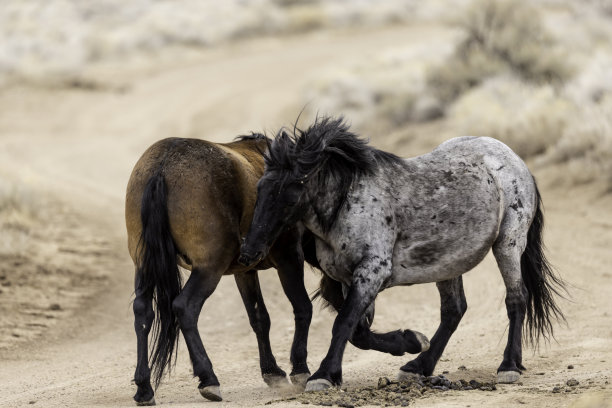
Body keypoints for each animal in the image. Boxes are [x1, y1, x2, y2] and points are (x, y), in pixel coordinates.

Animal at [126, 135, 314, 404]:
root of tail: (162, 166)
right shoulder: (289, 258)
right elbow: (302, 307)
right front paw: (300, 369)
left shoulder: (245, 271)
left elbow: (259, 318)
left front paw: (272, 371)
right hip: (209, 269)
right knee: (185, 307)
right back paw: (208, 379)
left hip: (144, 266)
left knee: (143, 312)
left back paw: (143, 387)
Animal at [240, 116, 568, 390]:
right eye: (261, 187)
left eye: (291, 190)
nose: (249, 251)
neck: (348, 203)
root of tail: (515, 160)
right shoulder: (348, 278)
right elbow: (357, 331)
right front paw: (410, 340)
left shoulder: (372, 271)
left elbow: (343, 323)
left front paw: (322, 376)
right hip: (448, 262)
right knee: (454, 311)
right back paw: (418, 366)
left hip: (508, 243)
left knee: (516, 299)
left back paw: (508, 366)